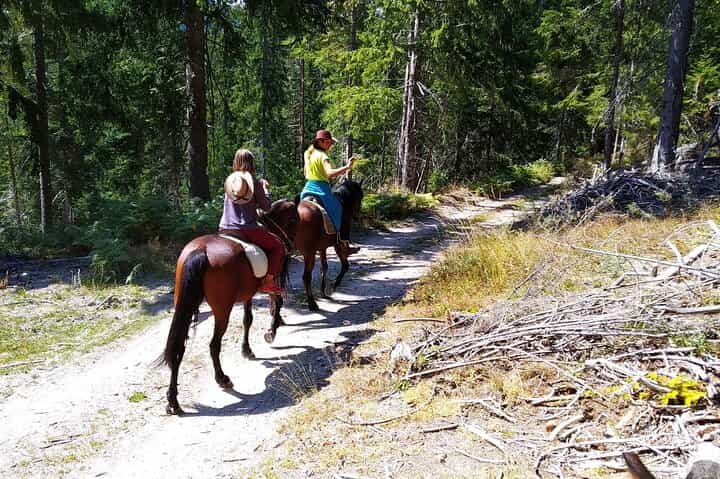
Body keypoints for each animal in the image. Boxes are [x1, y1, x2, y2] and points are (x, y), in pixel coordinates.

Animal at [161, 199, 299, 415]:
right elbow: (276, 303)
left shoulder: (248, 293)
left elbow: (247, 320)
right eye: (294, 219)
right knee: (214, 345)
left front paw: (247, 349)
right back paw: (222, 379)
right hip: (222, 310)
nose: (290, 245)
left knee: (179, 348)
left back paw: (173, 401)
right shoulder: (270, 283)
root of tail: (200, 251)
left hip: (184, 305)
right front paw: (272, 331)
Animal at [295, 179, 364, 311]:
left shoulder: (322, 248)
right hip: (309, 253)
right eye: (361, 196)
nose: (357, 214)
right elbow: (345, 265)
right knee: (306, 277)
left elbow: (324, 267)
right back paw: (312, 304)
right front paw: (335, 284)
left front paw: (323, 292)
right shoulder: (338, 244)